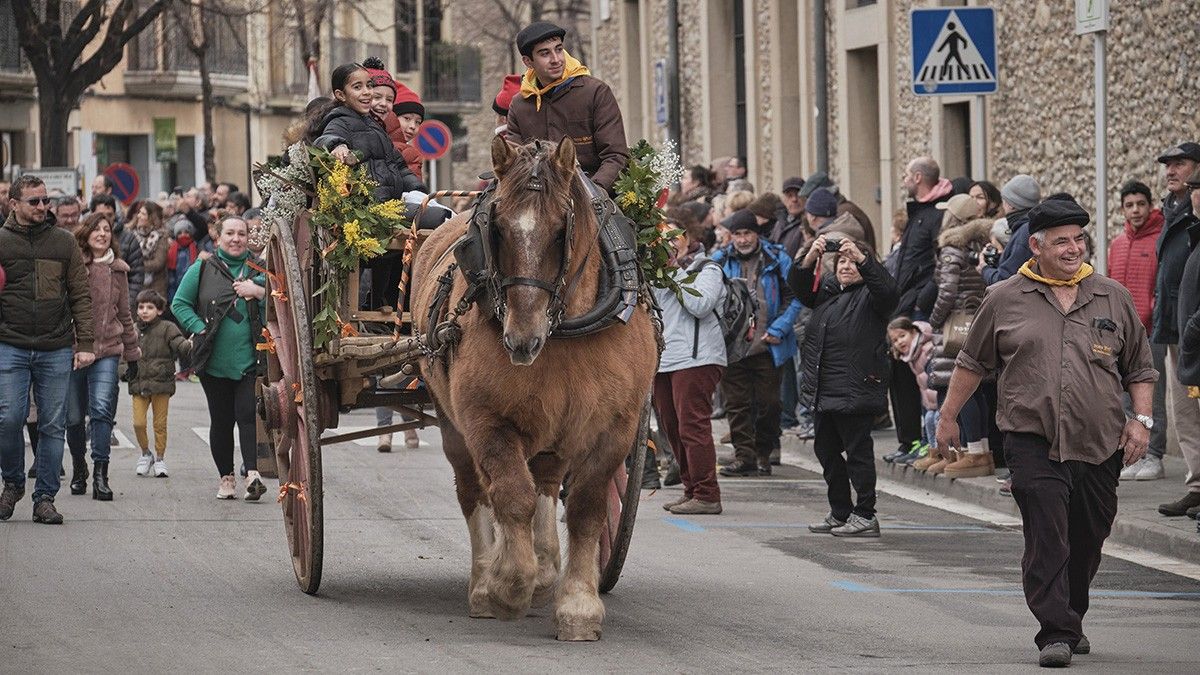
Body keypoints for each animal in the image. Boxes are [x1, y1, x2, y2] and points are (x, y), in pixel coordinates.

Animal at [410, 133, 657, 638]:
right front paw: (508, 583)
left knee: (545, 479)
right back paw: (486, 582)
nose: (522, 339)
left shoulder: (614, 427)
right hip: (453, 421)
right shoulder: (486, 421)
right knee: (476, 490)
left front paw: (578, 606)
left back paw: (545, 566)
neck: (565, 332)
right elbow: (510, 495)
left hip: (555, 427)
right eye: (498, 227)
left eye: (562, 230)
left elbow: (584, 509)